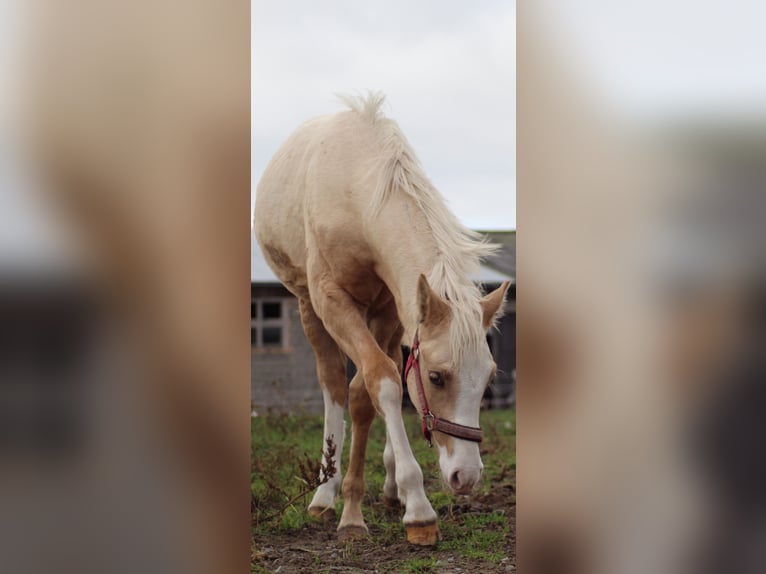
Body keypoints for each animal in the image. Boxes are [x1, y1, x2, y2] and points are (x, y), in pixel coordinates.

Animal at [255, 92, 512, 548]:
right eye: (437, 377)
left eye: (488, 381)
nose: (466, 476)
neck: (355, 193)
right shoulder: (332, 301)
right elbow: (380, 385)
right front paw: (413, 508)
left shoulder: (393, 308)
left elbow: (371, 389)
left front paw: (375, 502)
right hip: (307, 306)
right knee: (333, 385)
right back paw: (325, 494)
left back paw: (388, 490)